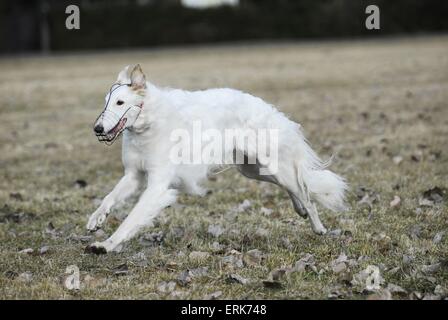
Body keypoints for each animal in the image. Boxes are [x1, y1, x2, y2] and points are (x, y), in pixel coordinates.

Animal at [86, 65, 346, 254]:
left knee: (306, 193)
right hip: (253, 169)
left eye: (120, 102)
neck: (147, 124)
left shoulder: (158, 185)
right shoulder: (134, 175)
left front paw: (106, 244)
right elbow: (109, 198)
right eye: (105, 101)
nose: (97, 129)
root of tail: (264, 106)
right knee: (296, 188)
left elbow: (130, 219)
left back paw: (318, 226)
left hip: (271, 166)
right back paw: (300, 209)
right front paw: (96, 219)